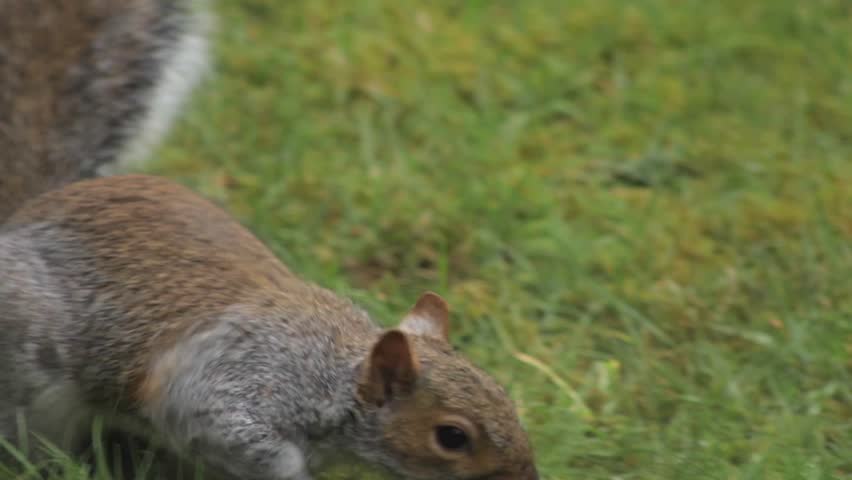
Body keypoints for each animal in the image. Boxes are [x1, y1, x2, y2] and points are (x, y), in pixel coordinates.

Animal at [0, 1, 539, 480]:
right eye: (452, 436)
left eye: (506, 396)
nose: (529, 476)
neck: (334, 375)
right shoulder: (233, 384)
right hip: (31, 381)